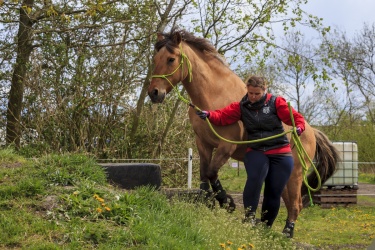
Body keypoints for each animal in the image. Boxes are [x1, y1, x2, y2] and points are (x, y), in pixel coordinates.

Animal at [148, 27, 340, 238]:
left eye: (171, 59)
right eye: (155, 59)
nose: (154, 93)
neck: (214, 95)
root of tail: (310, 131)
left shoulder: (227, 146)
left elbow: (212, 172)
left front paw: (227, 202)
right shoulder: (203, 144)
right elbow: (204, 176)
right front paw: (209, 201)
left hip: (296, 173)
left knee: (296, 205)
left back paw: (286, 234)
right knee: (287, 202)